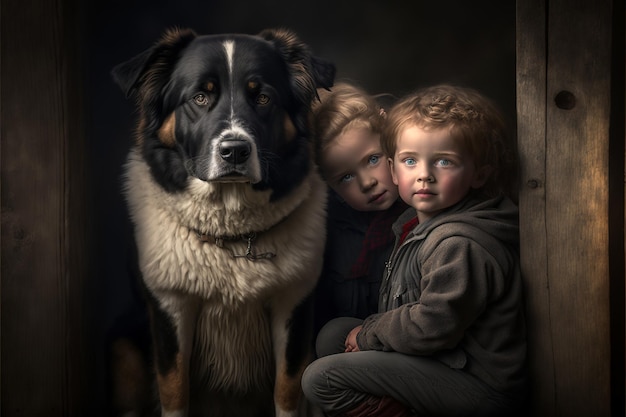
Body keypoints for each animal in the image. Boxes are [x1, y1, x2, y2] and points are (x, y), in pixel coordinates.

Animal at [112, 26, 336, 416]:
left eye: (262, 97)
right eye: (200, 97)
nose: (234, 151)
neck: (232, 233)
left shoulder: (293, 305)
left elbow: (287, 389)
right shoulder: (171, 308)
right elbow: (174, 389)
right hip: (124, 352)